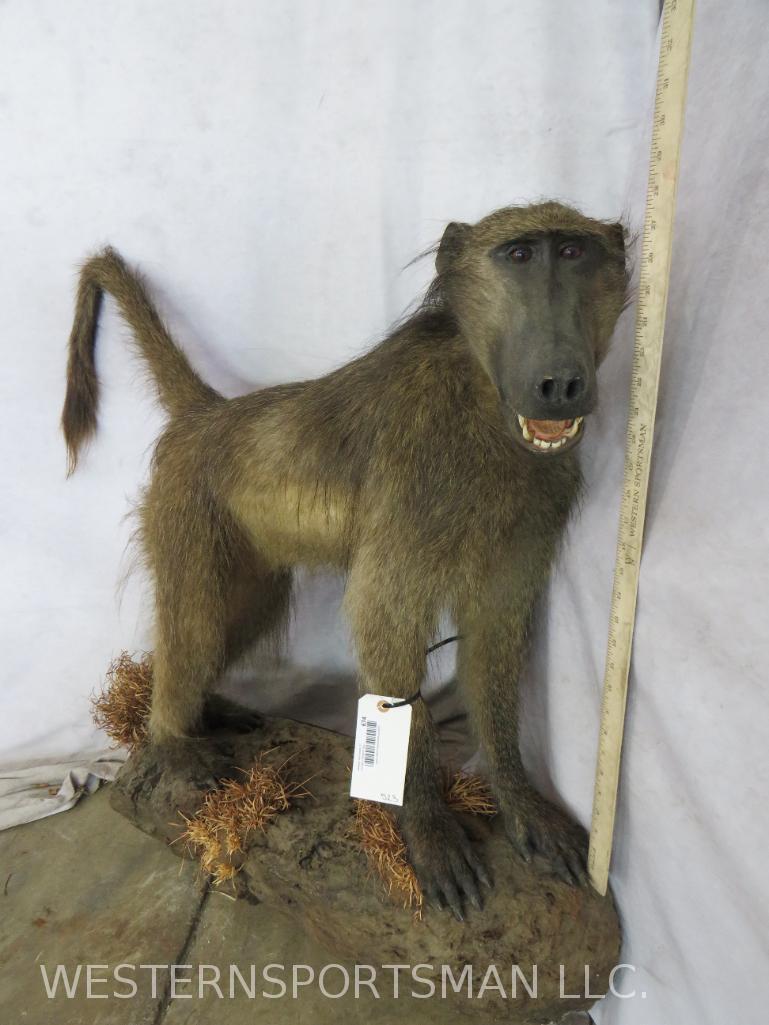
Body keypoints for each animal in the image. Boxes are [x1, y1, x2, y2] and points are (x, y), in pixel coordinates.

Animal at [62, 201, 628, 921]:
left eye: (576, 253)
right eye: (520, 255)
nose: (559, 383)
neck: (479, 396)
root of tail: (210, 416)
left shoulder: (535, 506)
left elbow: (495, 627)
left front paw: (519, 799)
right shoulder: (414, 477)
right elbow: (384, 620)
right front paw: (427, 825)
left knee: (239, 614)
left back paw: (208, 709)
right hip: (184, 505)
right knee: (195, 620)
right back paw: (171, 740)